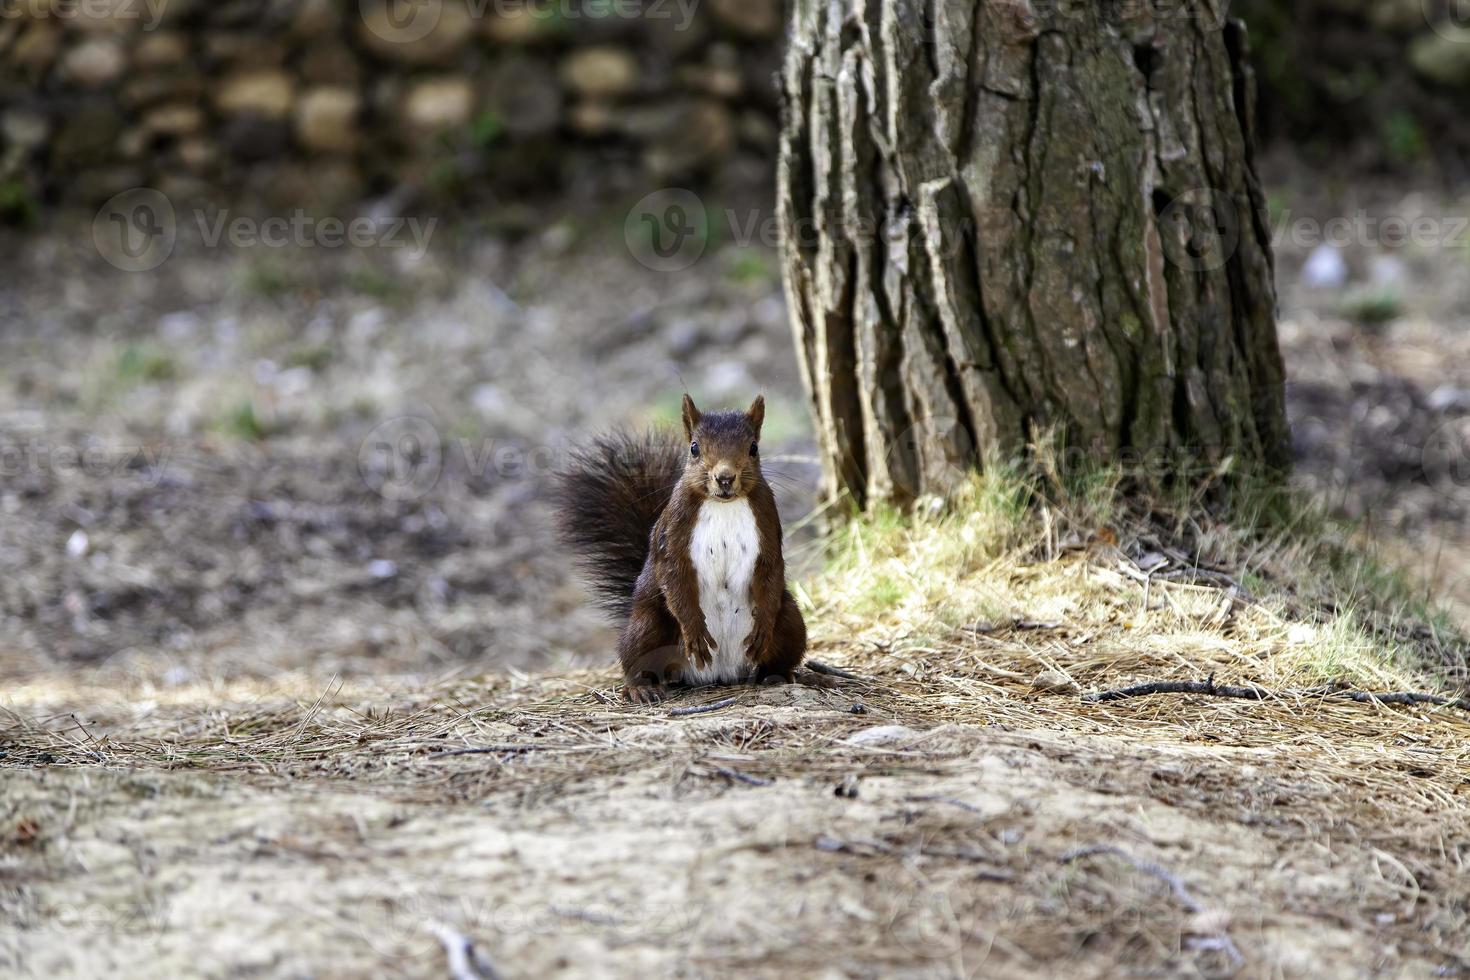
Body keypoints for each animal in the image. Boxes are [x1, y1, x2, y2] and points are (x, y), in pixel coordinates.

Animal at [552, 393, 805, 702]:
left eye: (753, 448)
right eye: (694, 448)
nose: (725, 478)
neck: (724, 504)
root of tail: (719, 674)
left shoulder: (768, 522)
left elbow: (771, 570)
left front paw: (763, 627)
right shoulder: (674, 530)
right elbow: (674, 575)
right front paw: (694, 630)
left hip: (791, 620)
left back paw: (777, 674)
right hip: (648, 626)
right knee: (636, 659)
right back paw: (641, 687)